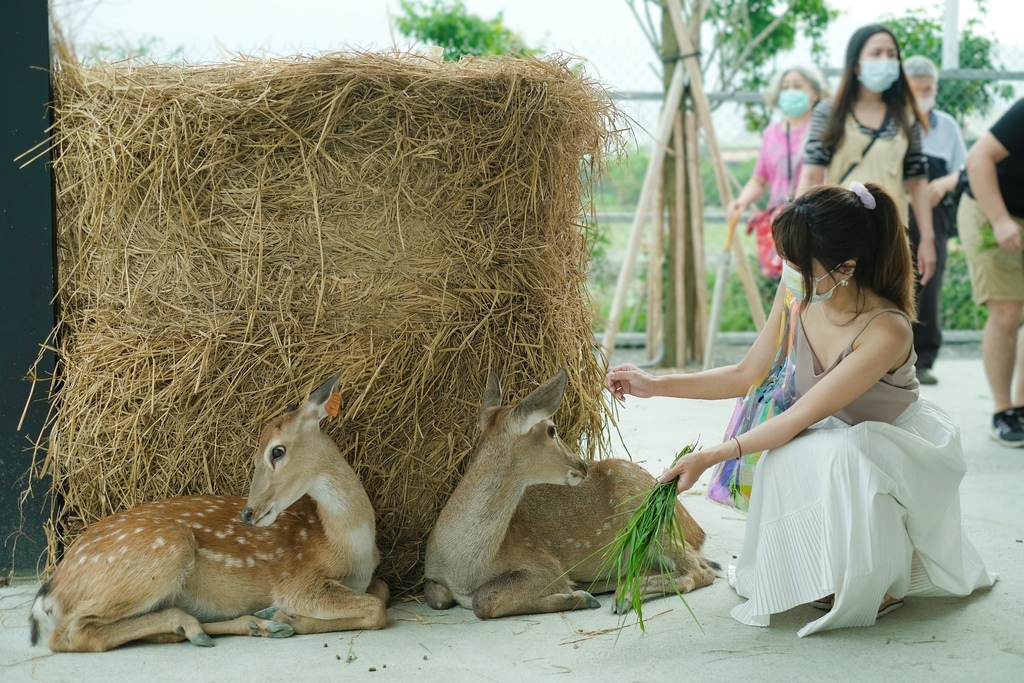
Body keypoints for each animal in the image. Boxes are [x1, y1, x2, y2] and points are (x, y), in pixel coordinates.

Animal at [29, 374, 387, 651]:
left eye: (277, 451)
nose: (248, 513)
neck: (348, 546)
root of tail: (51, 590)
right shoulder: (297, 583)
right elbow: (376, 609)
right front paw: (287, 616)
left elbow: (381, 591)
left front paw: (279, 618)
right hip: (164, 551)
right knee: (71, 634)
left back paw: (234, 626)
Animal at [419, 368, 716, 618]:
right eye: (551, 430)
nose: (582, 464)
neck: (464, 568)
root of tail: (695, 529)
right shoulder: (432, 576)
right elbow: (437, 597)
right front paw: (580, 593)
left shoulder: (544, 565)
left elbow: (483, 600)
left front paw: (577, 597)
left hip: (650, 519)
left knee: (698, 570)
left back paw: (622, 597)